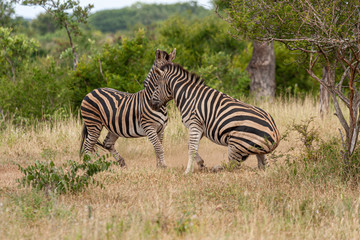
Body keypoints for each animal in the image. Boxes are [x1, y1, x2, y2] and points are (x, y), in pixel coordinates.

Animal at [150, 62, 280, 173]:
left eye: (156, 86)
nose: (151, 105)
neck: (188, 96)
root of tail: (276, 134)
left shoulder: (195, 123)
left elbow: (192, 147)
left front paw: (188, 171)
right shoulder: (201, 127)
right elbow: (190, 145)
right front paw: (200, 163)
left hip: (235, 143)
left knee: (233, 167)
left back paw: (216, 168)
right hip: (256, 150)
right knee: (264, 165)